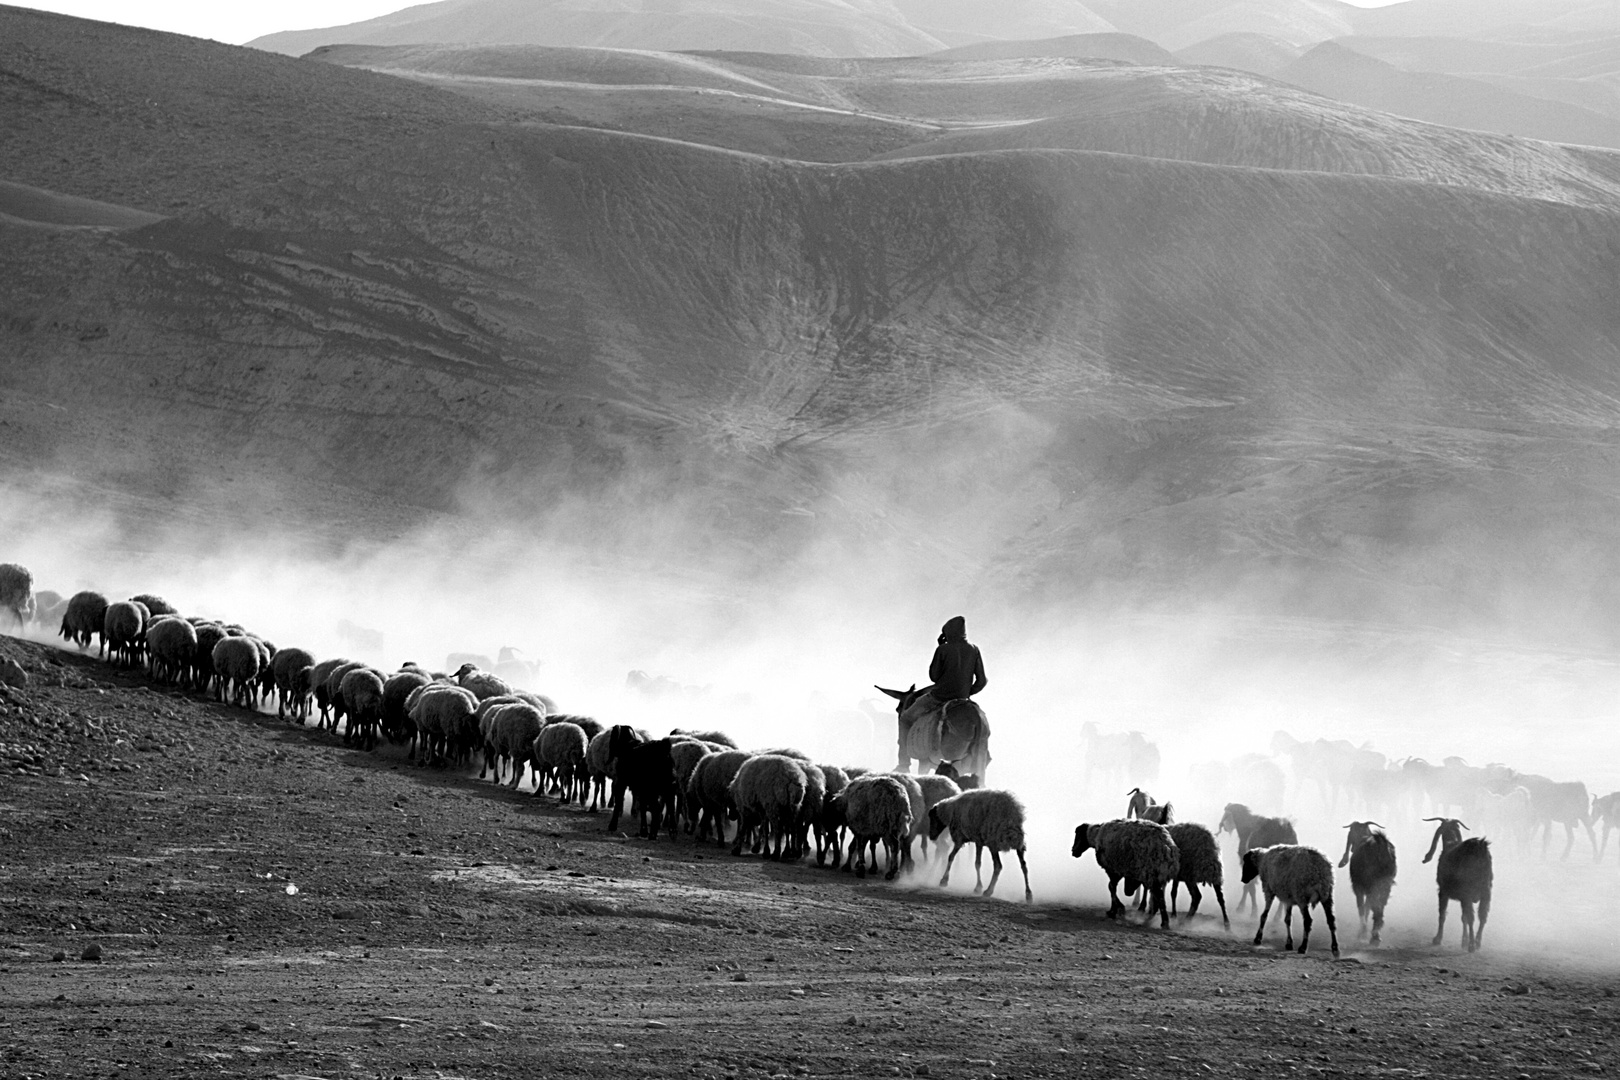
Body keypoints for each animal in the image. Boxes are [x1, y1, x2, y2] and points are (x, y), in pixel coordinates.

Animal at [1425, 819, 1496, 952]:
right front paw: (1463, 941)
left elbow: (1442, 914)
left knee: (1473, 918)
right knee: (1482, 916)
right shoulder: (1464, 898)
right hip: (1486, 892)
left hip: (1469, 892)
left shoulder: (1443, 892)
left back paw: (1472, 945)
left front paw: (1437, 939)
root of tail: (1479, 849)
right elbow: (1464, 918)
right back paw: (1477, 942)